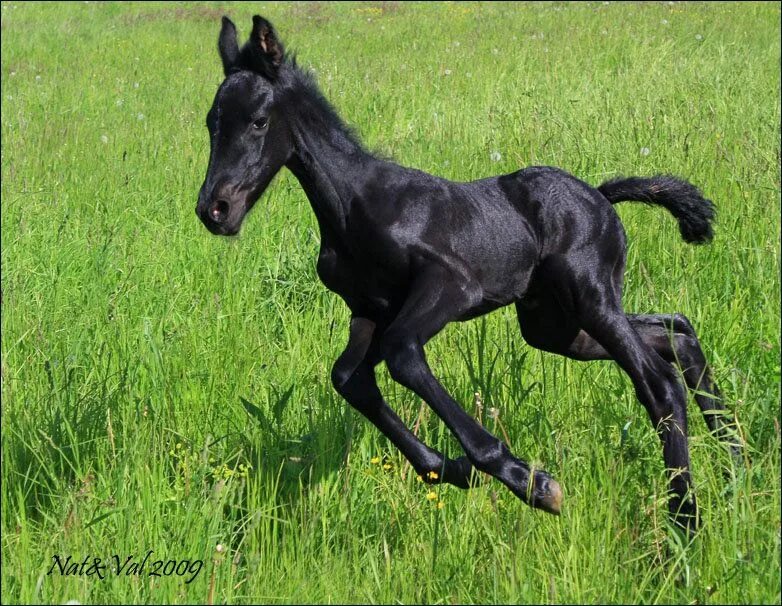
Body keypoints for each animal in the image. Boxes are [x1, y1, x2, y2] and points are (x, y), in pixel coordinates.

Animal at [194, 16, 740, 536]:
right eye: (211, 123)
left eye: (259, 120)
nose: (214, 210)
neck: (354, 206)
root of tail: (601, 195)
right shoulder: (368, 310)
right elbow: (349, 377)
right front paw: (452, 470)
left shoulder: (450, 287)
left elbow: (402, 356)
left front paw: (532, 482)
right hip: (555, 326)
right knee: (676, 333)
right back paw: (734, 463)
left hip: (590, 299)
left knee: (660, 383)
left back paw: (686, 519)